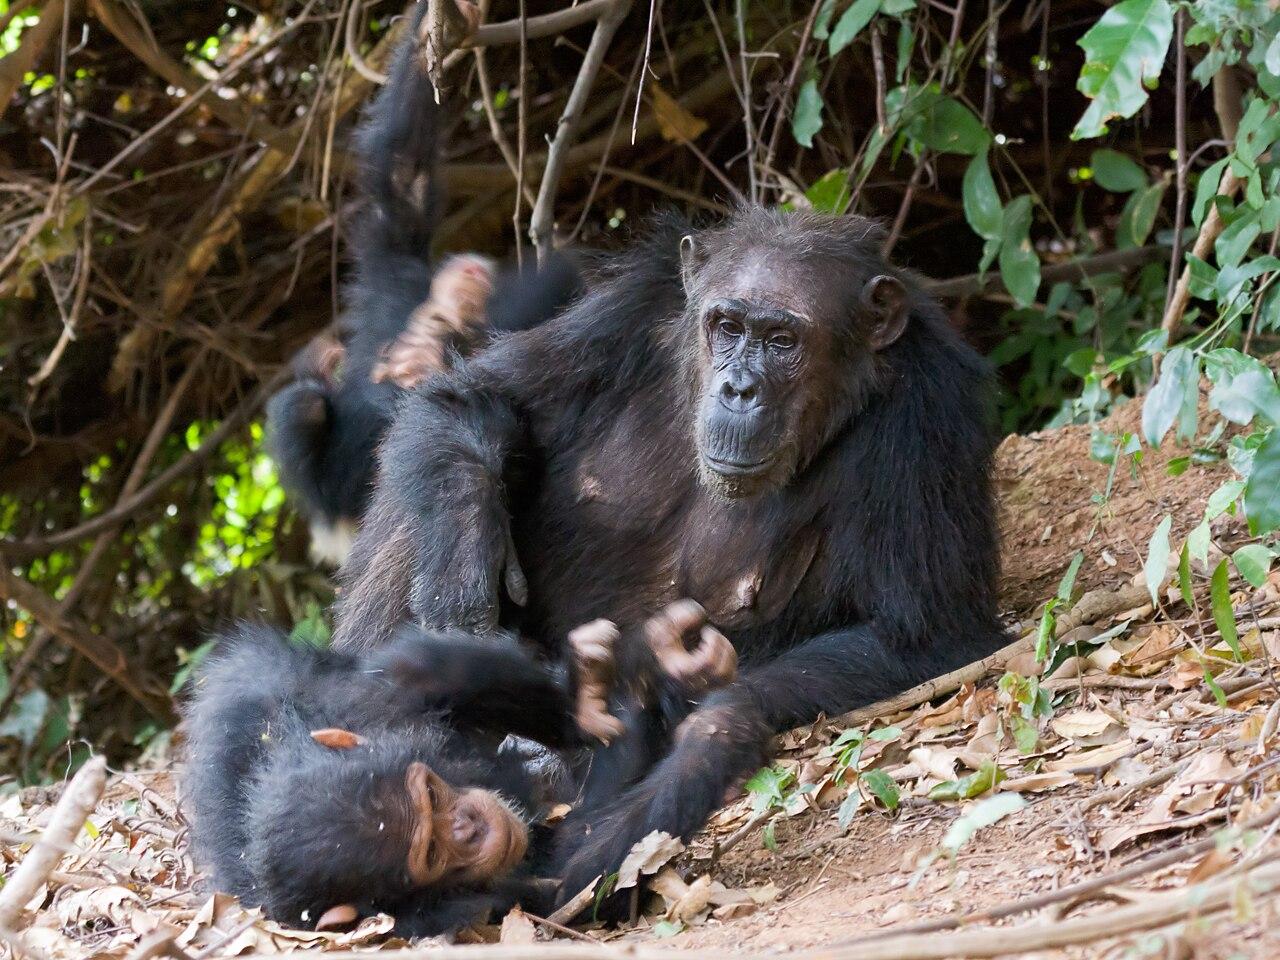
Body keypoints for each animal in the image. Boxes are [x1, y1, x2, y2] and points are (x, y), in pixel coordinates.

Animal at [185, 601, 737, 942]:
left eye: (432, 794)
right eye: (433, 851)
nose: (469, 826)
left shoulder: (354, 711)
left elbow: (410, 676)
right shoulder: (448, 916)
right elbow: (580, 877)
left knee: (420, 668)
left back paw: (590, 694)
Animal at [332, 208, 1008, 911]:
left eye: (783, 341)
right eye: (728, 327)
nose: (739, 388)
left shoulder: (927, 415)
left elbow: (921, 633)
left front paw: (709, 726)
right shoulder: (628, 313)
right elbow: (473, 396)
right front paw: (463, 567)